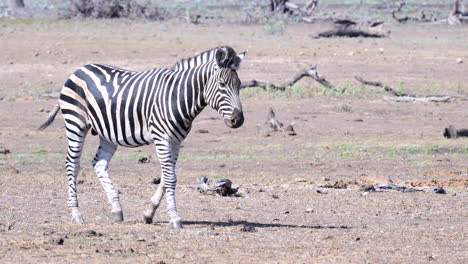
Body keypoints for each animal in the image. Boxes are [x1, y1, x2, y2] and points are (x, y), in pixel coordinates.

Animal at [39, 46, 249, 228]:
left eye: (239, 85)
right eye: (222, 84)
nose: (238, 120)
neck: (177, 96)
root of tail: (79, 69)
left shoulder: (175, 141)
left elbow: (167, 177)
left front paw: (149, 213)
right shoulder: (161, 138)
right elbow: (170, 178)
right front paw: (174, 218)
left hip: (107, 133)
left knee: (99, 163)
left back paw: (116, 209)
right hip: (75, 123)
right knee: (72, 164)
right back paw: (76, 213)